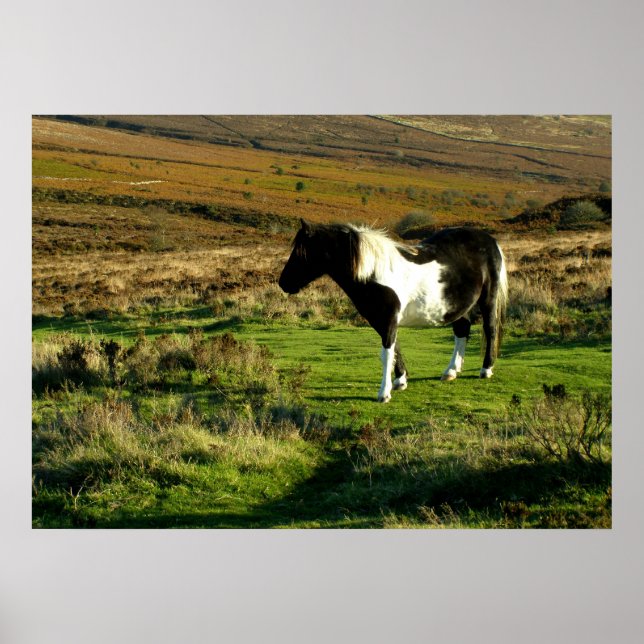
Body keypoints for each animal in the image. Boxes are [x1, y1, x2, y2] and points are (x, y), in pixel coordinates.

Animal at [278, 219, 508, 403]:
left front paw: (384, 393)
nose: (283, 283)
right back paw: (451, 371)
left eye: (302, 253)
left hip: (488, 299)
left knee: (490, 329)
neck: (374, 273)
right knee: (462, 330)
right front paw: (400, 380)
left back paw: (486, 369)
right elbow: (395, 349)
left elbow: (386, 353)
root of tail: (490, 241)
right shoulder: (380, 320)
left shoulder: (388, 319)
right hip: (457, 306)